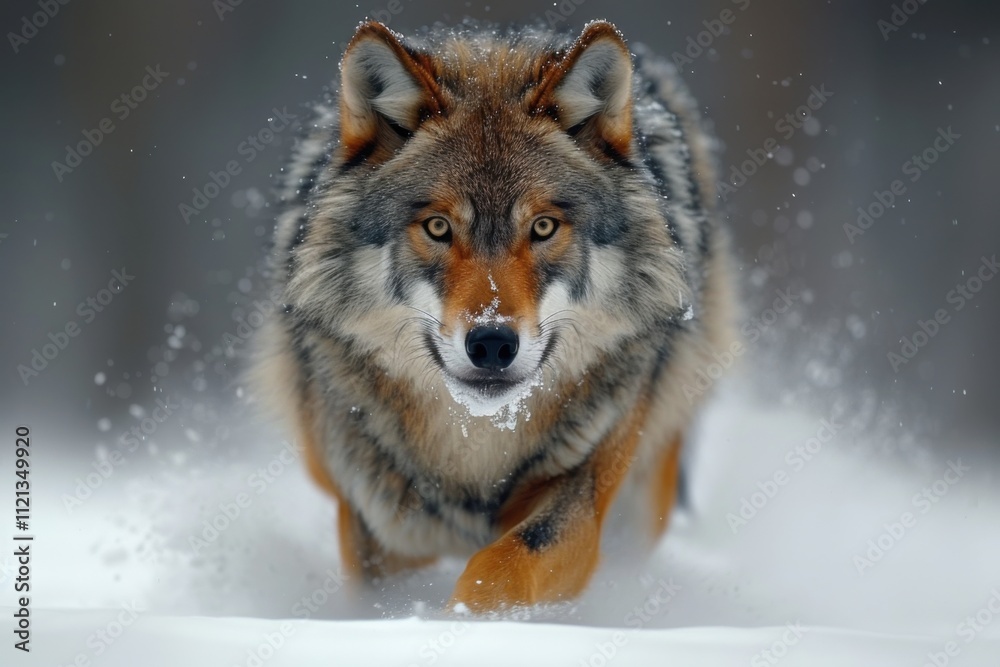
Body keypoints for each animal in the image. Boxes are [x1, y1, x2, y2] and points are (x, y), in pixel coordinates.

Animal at [253, 19, 736, 612]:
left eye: (543, 227)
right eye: (438, 227)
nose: (491, 344)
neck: (476, 447)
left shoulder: (580, 498)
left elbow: (504, 567)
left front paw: (462, 620)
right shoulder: (379, 531)